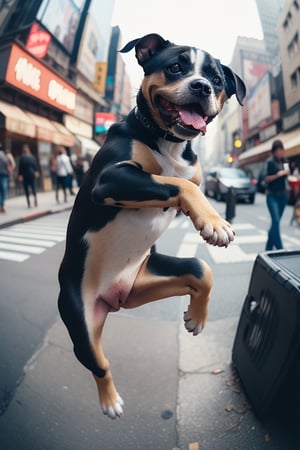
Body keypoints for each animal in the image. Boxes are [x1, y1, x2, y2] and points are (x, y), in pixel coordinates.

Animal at [58, 33, 246, 420]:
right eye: (175, 67)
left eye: (217, 80)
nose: (202, 86)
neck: (169, 141)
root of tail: (111, 299)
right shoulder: (112, 178)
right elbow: (178, 184)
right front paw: (215, 221)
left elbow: (186, 187)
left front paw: (197, 318)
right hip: (79, 320)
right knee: (98, 363)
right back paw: (110, 402)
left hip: (144, 284)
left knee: (198, 269)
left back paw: (194, 313)